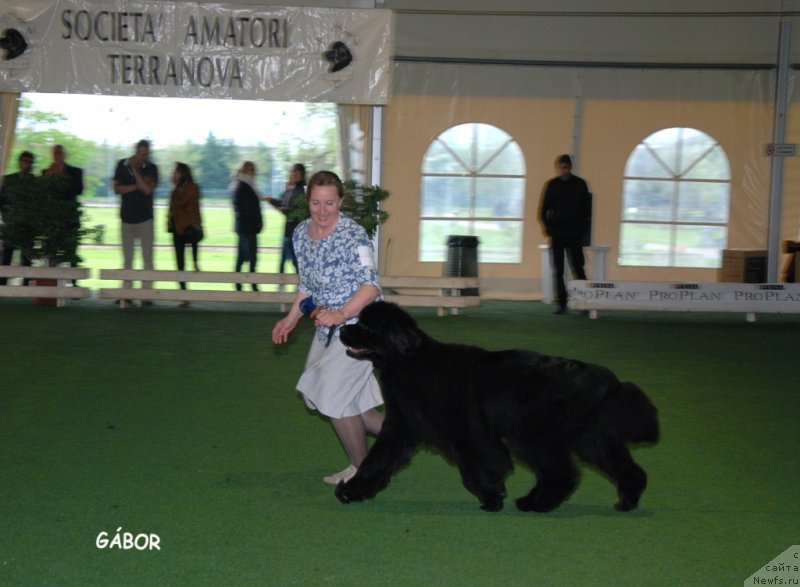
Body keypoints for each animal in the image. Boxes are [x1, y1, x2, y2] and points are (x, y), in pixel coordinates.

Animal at [336, 304, 656, 516]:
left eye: (366, 327)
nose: (341, 329)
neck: (409, 361)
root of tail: (599, 375)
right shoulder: (401, 427)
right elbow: (376, 460)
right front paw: (352, 491)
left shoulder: (466, 432)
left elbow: (477, 466)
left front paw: (492, 497)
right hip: (589, 436)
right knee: (620, 467)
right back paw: (626, 501)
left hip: (534, 434)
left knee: (561, 473)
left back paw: (535, 504)